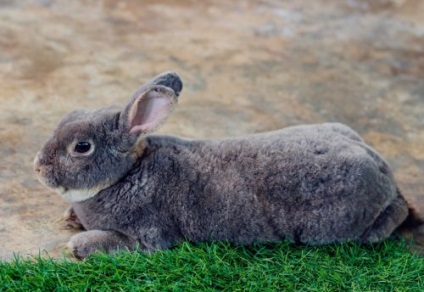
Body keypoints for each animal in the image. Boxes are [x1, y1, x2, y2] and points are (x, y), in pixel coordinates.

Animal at [34, 72, 420, 258]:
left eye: (82, 147)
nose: (37, 167)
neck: (127, 174)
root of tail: (381, 169)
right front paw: (69, 219)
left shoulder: (149, 236)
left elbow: (119, 243)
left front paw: (78, 245)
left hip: (335, 225)